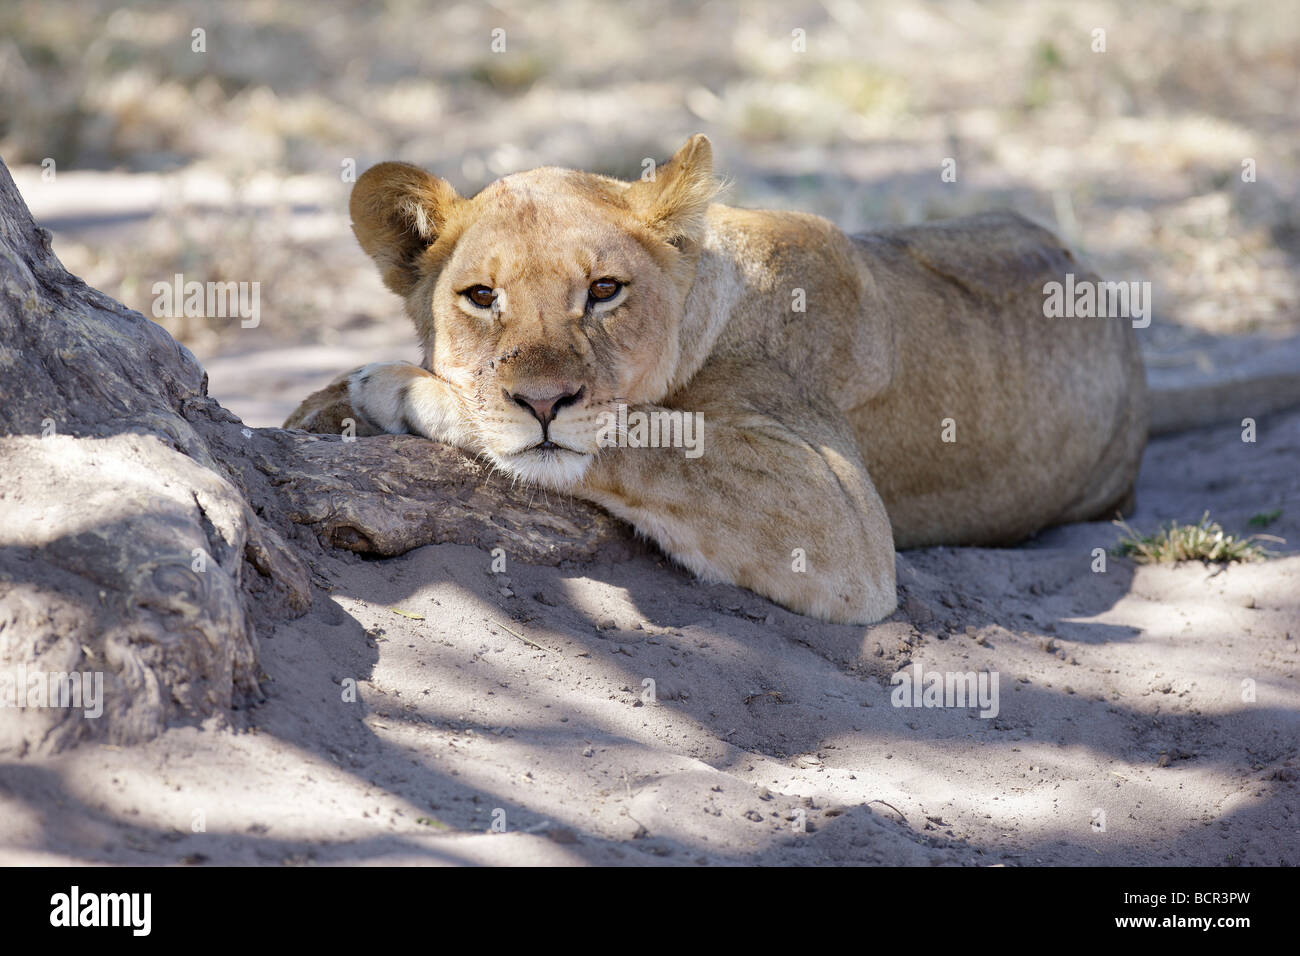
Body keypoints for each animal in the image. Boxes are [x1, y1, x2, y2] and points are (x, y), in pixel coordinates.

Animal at [285, 134, 1148, 625]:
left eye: (605, 290)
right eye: (481, 297)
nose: (543, 401)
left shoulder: (837, 513)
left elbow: (646, 433)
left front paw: (397, 386)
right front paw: (318, 407)